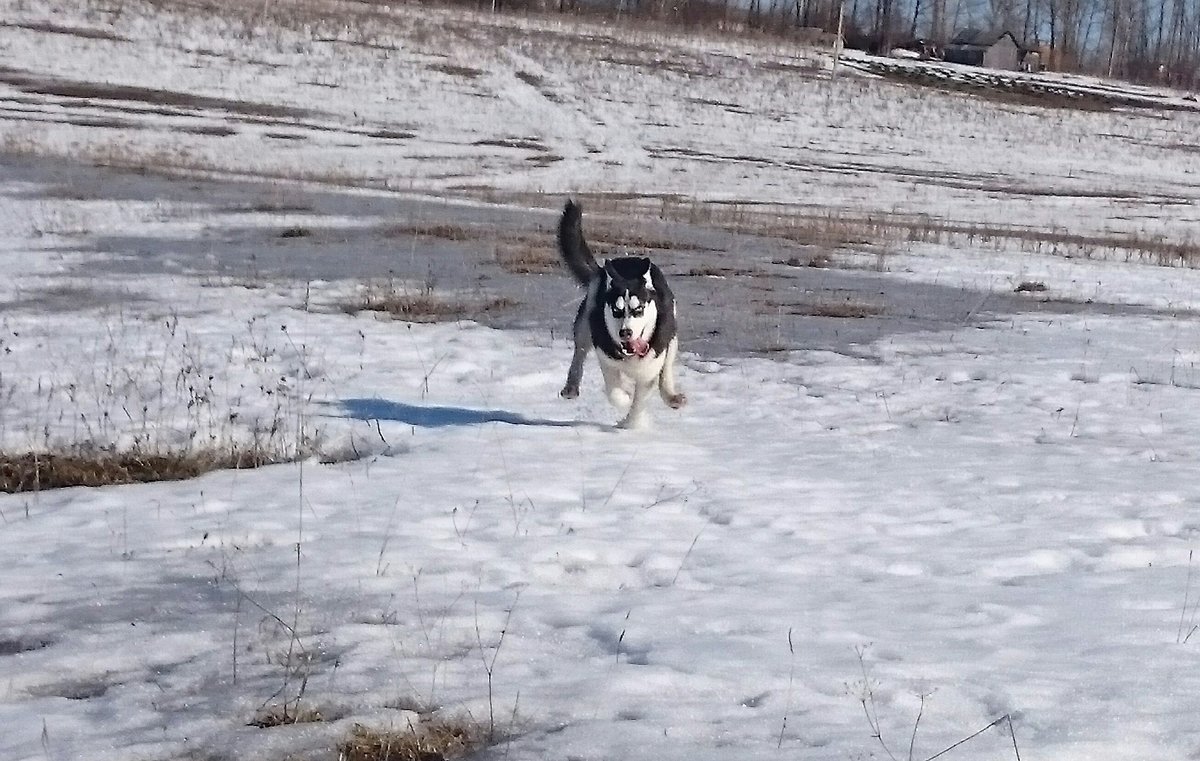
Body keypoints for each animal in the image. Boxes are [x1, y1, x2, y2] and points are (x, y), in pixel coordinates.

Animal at [554, 198, 686, 427]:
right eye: (616, 310)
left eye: (638, 309)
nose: (626, 333)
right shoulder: (607, 360)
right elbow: (616, 392)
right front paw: (624, 399)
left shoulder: (650, 367)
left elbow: (641, 399)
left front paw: (631, 424)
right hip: (586, 320)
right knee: (580, 351)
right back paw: (571, 386)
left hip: (672, 336)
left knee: (667, 369)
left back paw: (670, 396)